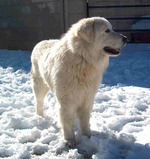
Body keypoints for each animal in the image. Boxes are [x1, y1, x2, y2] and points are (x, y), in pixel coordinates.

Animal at [31, 16, 127, 147]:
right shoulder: (66, 100)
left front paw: (87, 138)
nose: (125, 38)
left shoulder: (87, 98)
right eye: (107, 31)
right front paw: (70, 140)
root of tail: (41, 42)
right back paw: (40, 116)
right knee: (39, 101)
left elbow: (85, 120)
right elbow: (67, 121)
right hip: (40, 85)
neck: (83, 58)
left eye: (111, 29)